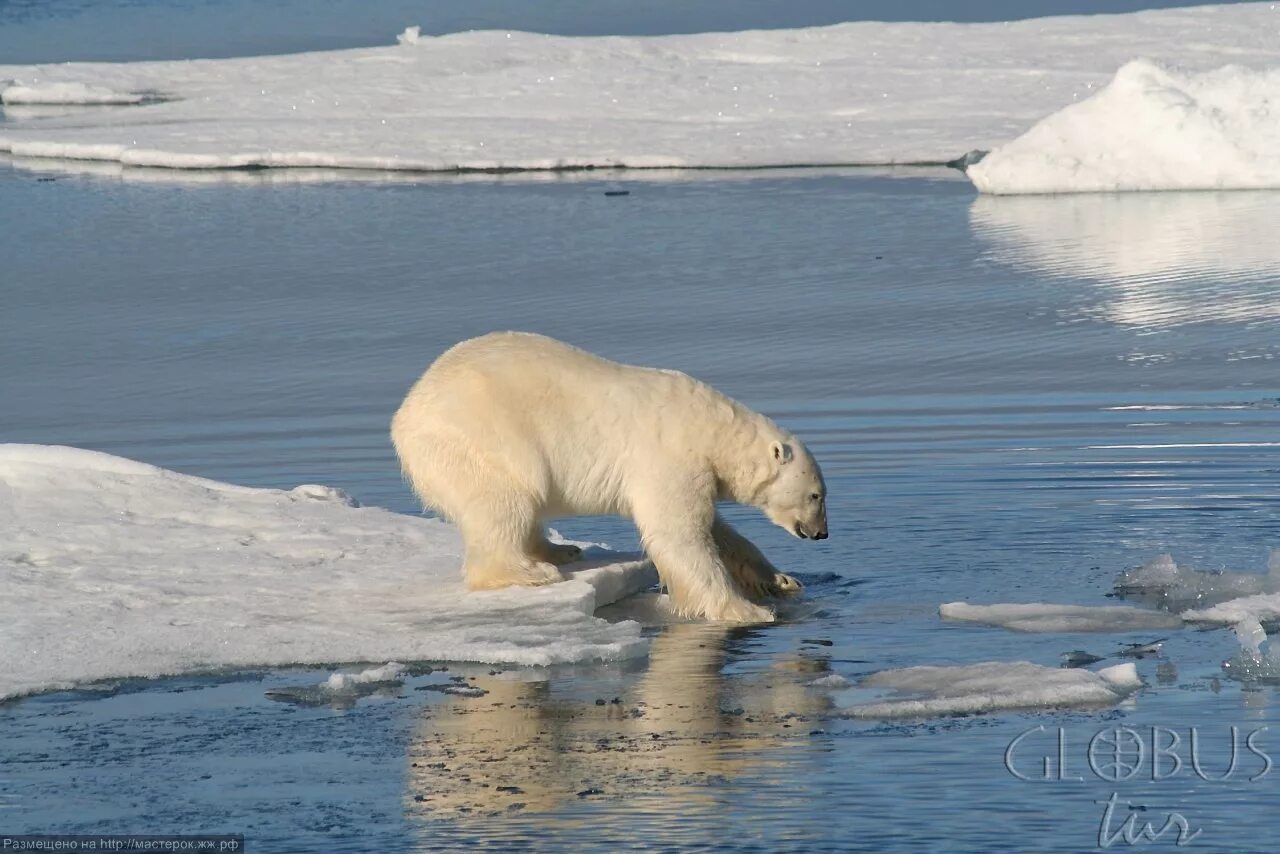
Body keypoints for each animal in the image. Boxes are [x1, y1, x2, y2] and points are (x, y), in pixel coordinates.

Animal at [389, 332, 829, 622]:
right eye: (816, 495)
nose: (821, 533)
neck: (712, 428)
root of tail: (404, 416)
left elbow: (718, 531)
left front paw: (780, 580)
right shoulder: (669, 455)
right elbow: (679, 535)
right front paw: (746, 610)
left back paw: (559, 551)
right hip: (481, 439)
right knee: (503, 500)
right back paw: (531, 572)